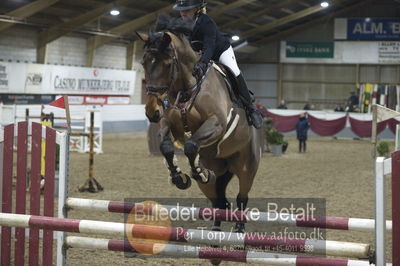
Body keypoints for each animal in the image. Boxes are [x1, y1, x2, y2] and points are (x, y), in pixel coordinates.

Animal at [138, 28, 262, 234]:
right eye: (143, 63)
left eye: (168, 64)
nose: (152, 111)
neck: (187, 86)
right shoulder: (169, 124)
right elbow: (166, 147)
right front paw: (179, 177)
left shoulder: (216, 123)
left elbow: (190, 145)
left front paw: (199, 172)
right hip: (218, 172)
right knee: (218, 201)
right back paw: (215, 230)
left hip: (246, 166)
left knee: (241, 197)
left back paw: (238, 229)